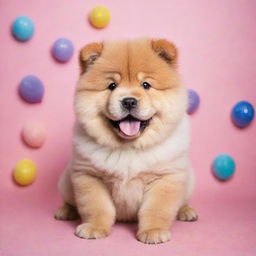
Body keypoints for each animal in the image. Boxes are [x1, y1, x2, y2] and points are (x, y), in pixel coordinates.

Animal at [54, 38, 198, 244]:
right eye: (112, 86)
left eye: (146, 85)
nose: (129, 101)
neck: (129, 147)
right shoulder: (89, 175)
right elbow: (97, 207)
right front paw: (94, 228)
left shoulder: (165, 177)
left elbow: (156, 209)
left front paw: (153, 231)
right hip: (66, 180)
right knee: (70, 200)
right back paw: (65, 211)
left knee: (182, 202)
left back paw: (186, 212)